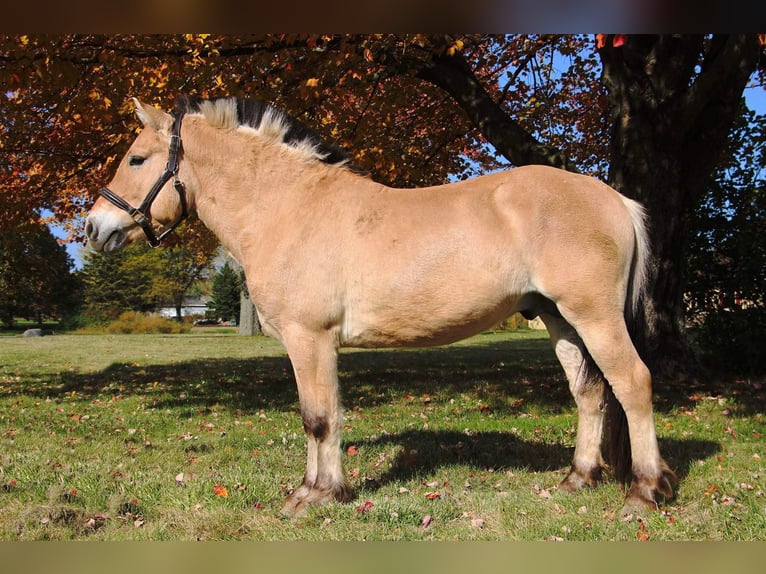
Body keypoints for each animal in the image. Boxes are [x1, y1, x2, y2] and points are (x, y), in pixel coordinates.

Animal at [85, 94, 680, 516]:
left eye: (137, 158)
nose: (93, 228)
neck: (287, 207)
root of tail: (614, 198)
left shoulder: (310, 338)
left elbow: (318, 418)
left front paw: (315, 495)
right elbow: (320, 416)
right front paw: (320, 489)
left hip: (594, 316)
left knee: (633, 384)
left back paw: (644, 492)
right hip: (559, 319)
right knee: (590, 394)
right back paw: (577, 478)